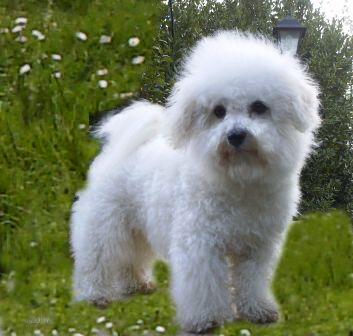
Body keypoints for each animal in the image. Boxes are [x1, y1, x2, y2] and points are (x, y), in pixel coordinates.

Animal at [70, 31, 320, 334]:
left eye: (259, 107)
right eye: (218, 111)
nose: (235, 135)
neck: (239, 181)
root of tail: (118, 147)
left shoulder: (257, 247)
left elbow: (252, 282)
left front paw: (257, 311)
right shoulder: (201, 244)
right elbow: (205, 285)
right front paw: (207, 320)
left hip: (135, 226)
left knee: (131, 257)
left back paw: (137, 285)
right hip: (105, 224)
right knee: (96, 258)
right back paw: (93, 296)